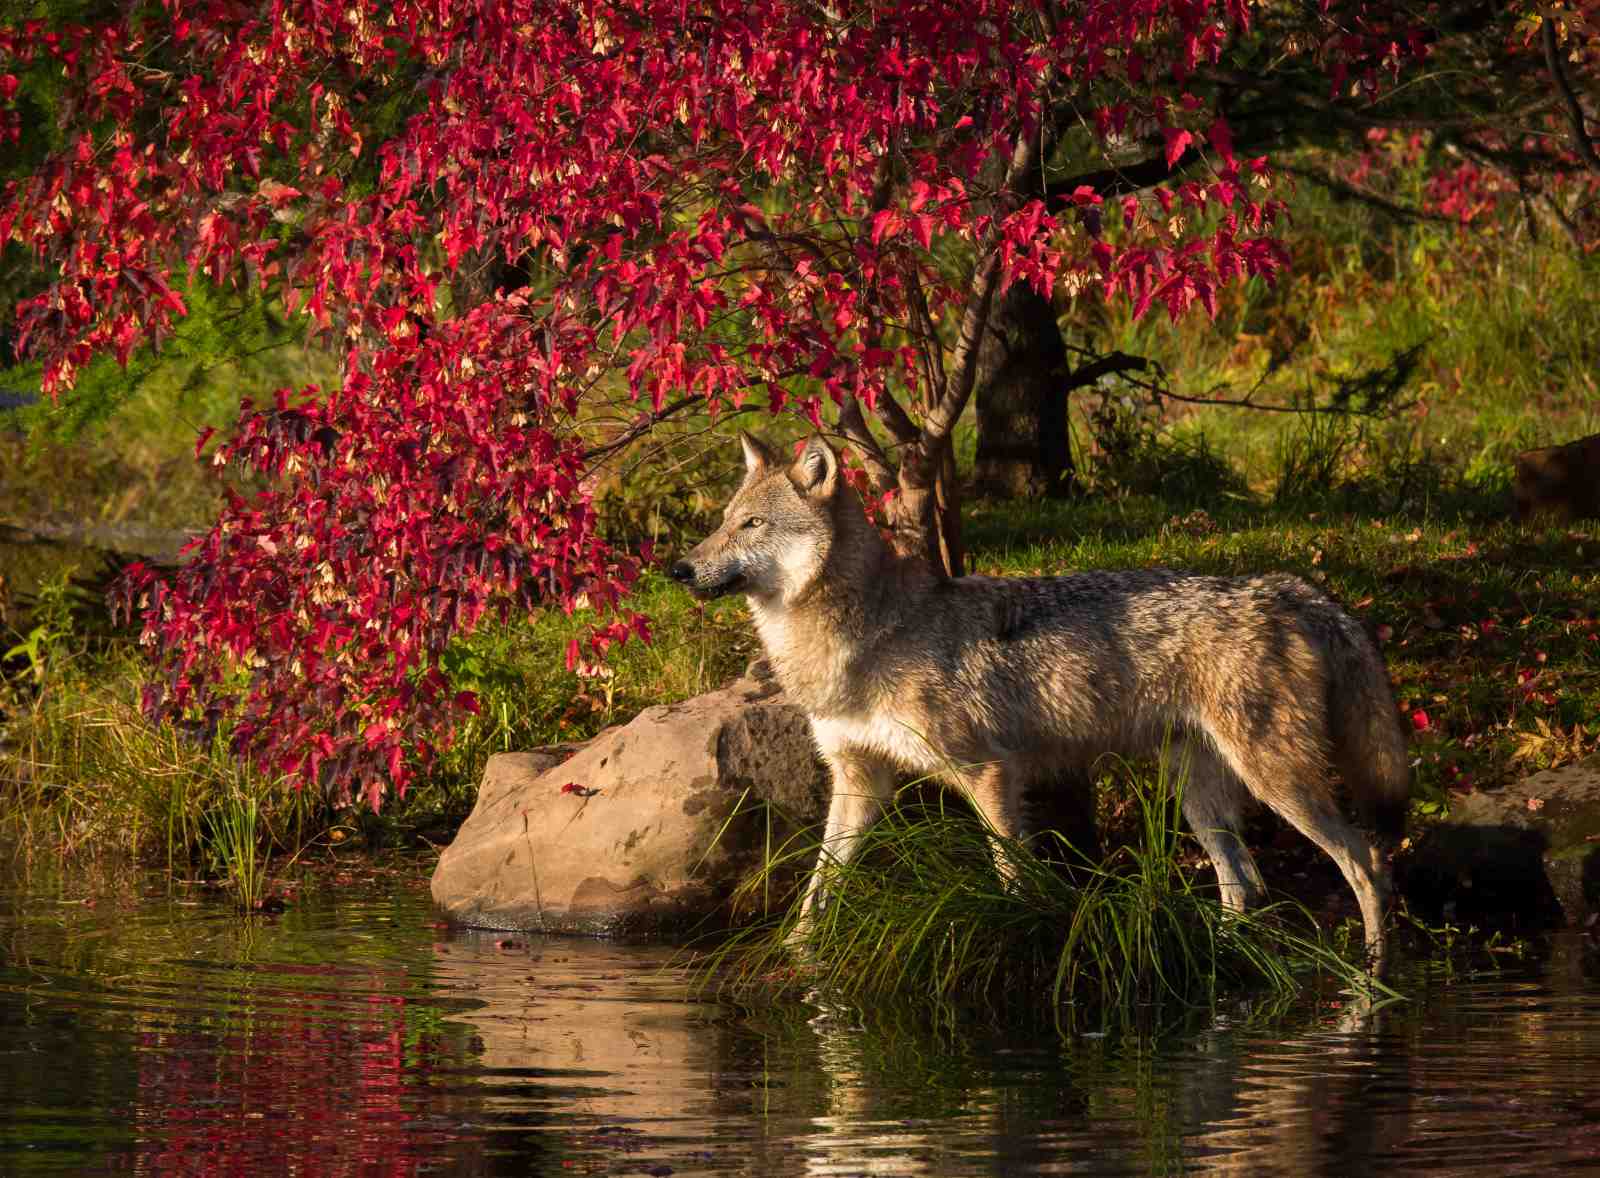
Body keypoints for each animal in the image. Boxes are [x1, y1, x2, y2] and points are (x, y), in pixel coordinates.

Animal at [670, 433, 1410, 969]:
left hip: (1278, 785)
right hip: (1200, 797)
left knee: (1368, 863)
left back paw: (1374, 976)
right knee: (1246, 885)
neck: (869, 633)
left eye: (750, 524)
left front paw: (1018, 943)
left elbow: (1010, 874)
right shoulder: (859, 780)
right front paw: (797, 959)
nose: (677, 568)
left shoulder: (989, 772)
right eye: (720, 525)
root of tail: (1289, 588)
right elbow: (820, 886)